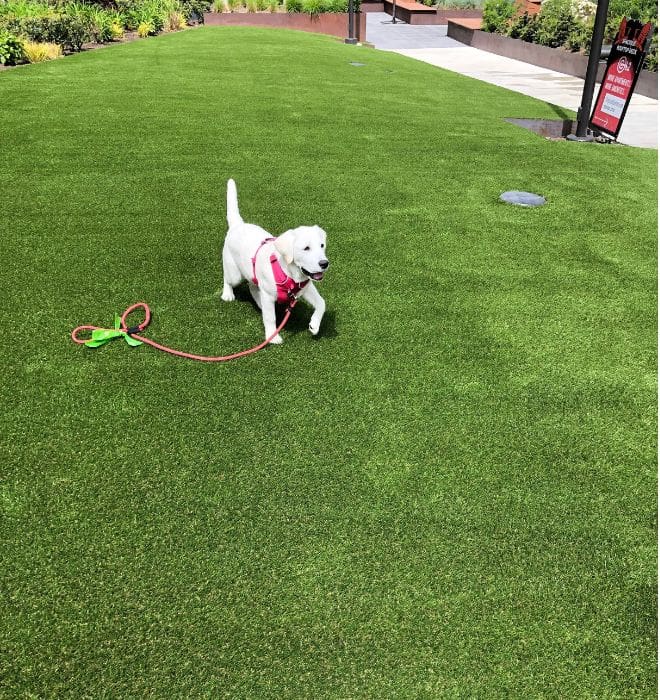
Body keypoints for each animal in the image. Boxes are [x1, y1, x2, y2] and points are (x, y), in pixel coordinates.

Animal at [220, 180, 328, 344]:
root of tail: (238, 225)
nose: (324, 263)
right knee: (228, 279)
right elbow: (270, 318)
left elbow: (322, 303)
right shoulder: (269, 294)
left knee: (253, 287)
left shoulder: (306, 287)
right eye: (306, 248)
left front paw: (314, 325)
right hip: (235, 274)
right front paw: (272, 336)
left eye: (322, 245)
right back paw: (227, 294)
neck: (290, 274)